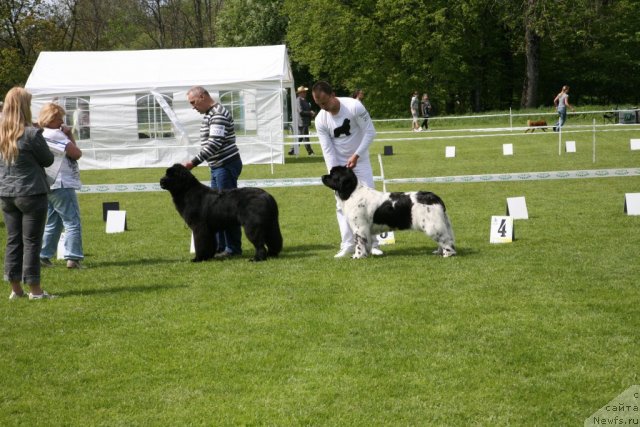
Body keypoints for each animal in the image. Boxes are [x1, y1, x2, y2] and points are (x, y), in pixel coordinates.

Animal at [322, 166, 458, 260]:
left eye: (333, 174)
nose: (323, 176)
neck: (351, 192)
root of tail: (435, 198)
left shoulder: (359, 227)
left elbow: (359, 243)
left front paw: (358, 256)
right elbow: (365, 243)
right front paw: (366, 254)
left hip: (432, 226)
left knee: (446, 240)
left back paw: (447, 254)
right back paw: (439, 252)